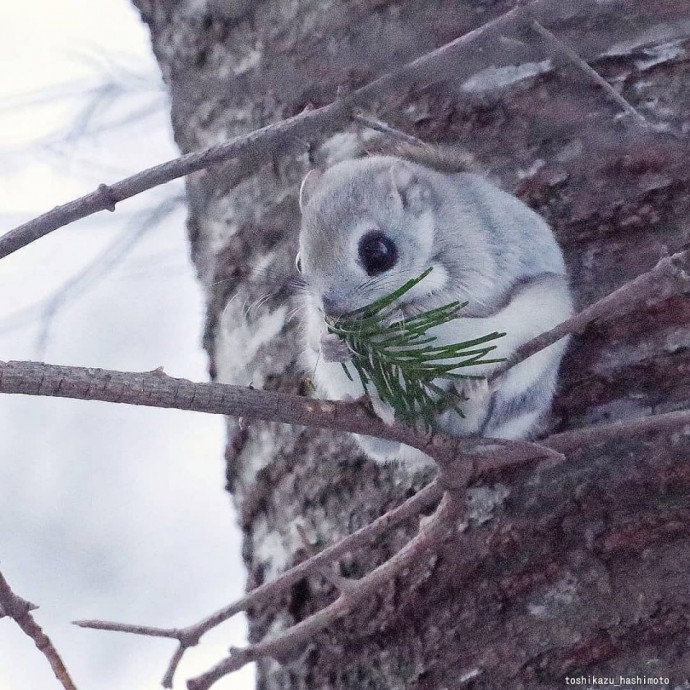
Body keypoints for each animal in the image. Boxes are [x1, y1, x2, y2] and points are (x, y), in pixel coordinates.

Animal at [294, 142, 568, 464]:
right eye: (299, 262)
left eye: (377, 251)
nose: (333, 311)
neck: (432, 225)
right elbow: (313, 340)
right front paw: (329, 343)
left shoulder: (477, 254)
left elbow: (466, 296)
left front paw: (392, 319)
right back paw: (380, 407)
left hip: (536, 350)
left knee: (476, 427)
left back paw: (474, 390)